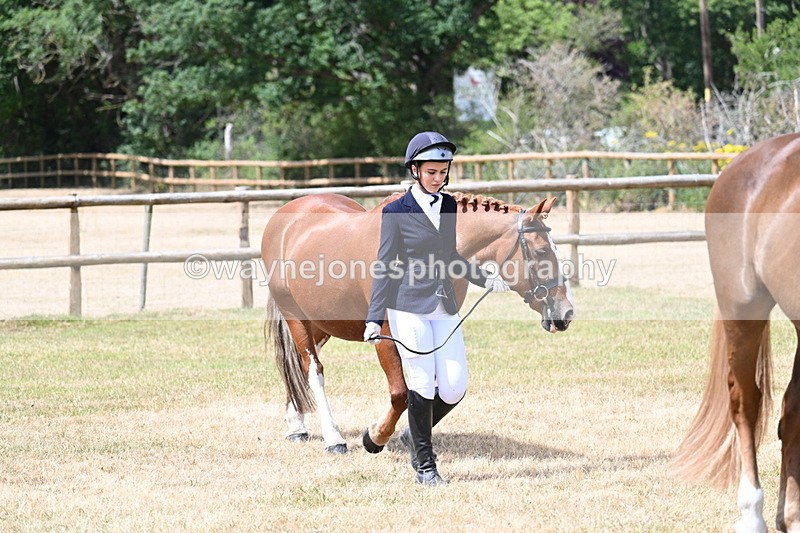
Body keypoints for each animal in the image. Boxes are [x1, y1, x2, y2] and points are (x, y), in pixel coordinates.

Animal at [261, 191, 575, 455]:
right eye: (542, 252)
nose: (566, 312)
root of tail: (284, 216)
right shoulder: (386, 337)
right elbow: (401, 394)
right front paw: (375, 436)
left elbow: (445, 390)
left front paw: (407, 435)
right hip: (296, 318)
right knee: (313, 369)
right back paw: (333, 438)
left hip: (322, 323)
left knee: (296, 364)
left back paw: (296, 425)